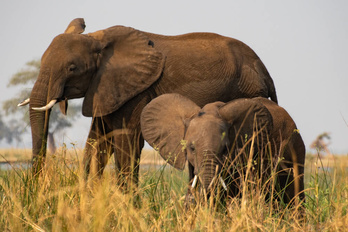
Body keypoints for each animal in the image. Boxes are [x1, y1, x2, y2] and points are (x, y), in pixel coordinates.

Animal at [21, 18, 278, 187]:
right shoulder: (106, 88)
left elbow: (126, 141)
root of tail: (265, 71)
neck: (98, 39)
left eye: (72, 68)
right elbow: (97, 142)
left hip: (248, 93)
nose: (35, 188)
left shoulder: (136, 91)